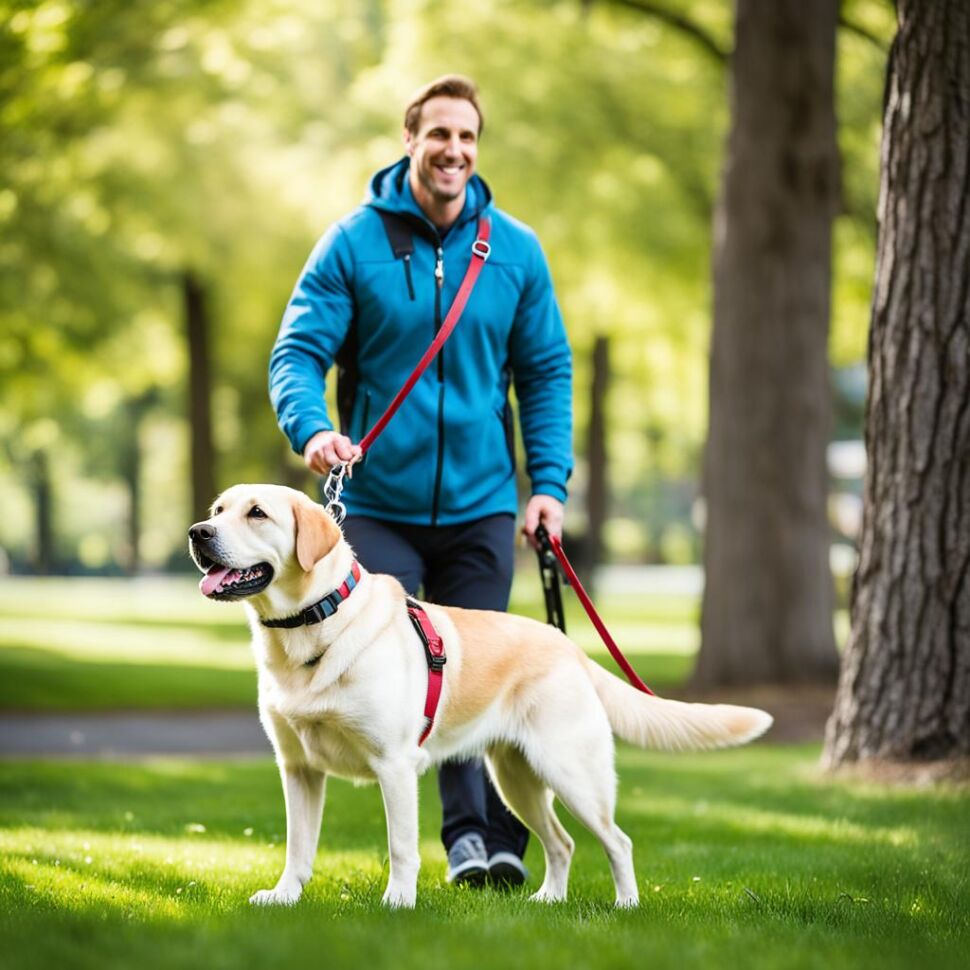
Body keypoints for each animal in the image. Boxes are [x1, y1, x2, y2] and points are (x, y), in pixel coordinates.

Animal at [189, 484, 772, 908]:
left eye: (257, 514)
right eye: (218, 509)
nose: (197, 532)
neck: (314, 624)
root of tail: (568, 645)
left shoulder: (395, 765)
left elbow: (401, 846)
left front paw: (397, 904)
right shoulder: (298, 769)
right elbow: (298, 847)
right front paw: (284, 897)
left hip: (572, 773)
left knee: (617, 841)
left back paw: (625, 906)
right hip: (517, 779)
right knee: (562, 843)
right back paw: (548, 901)